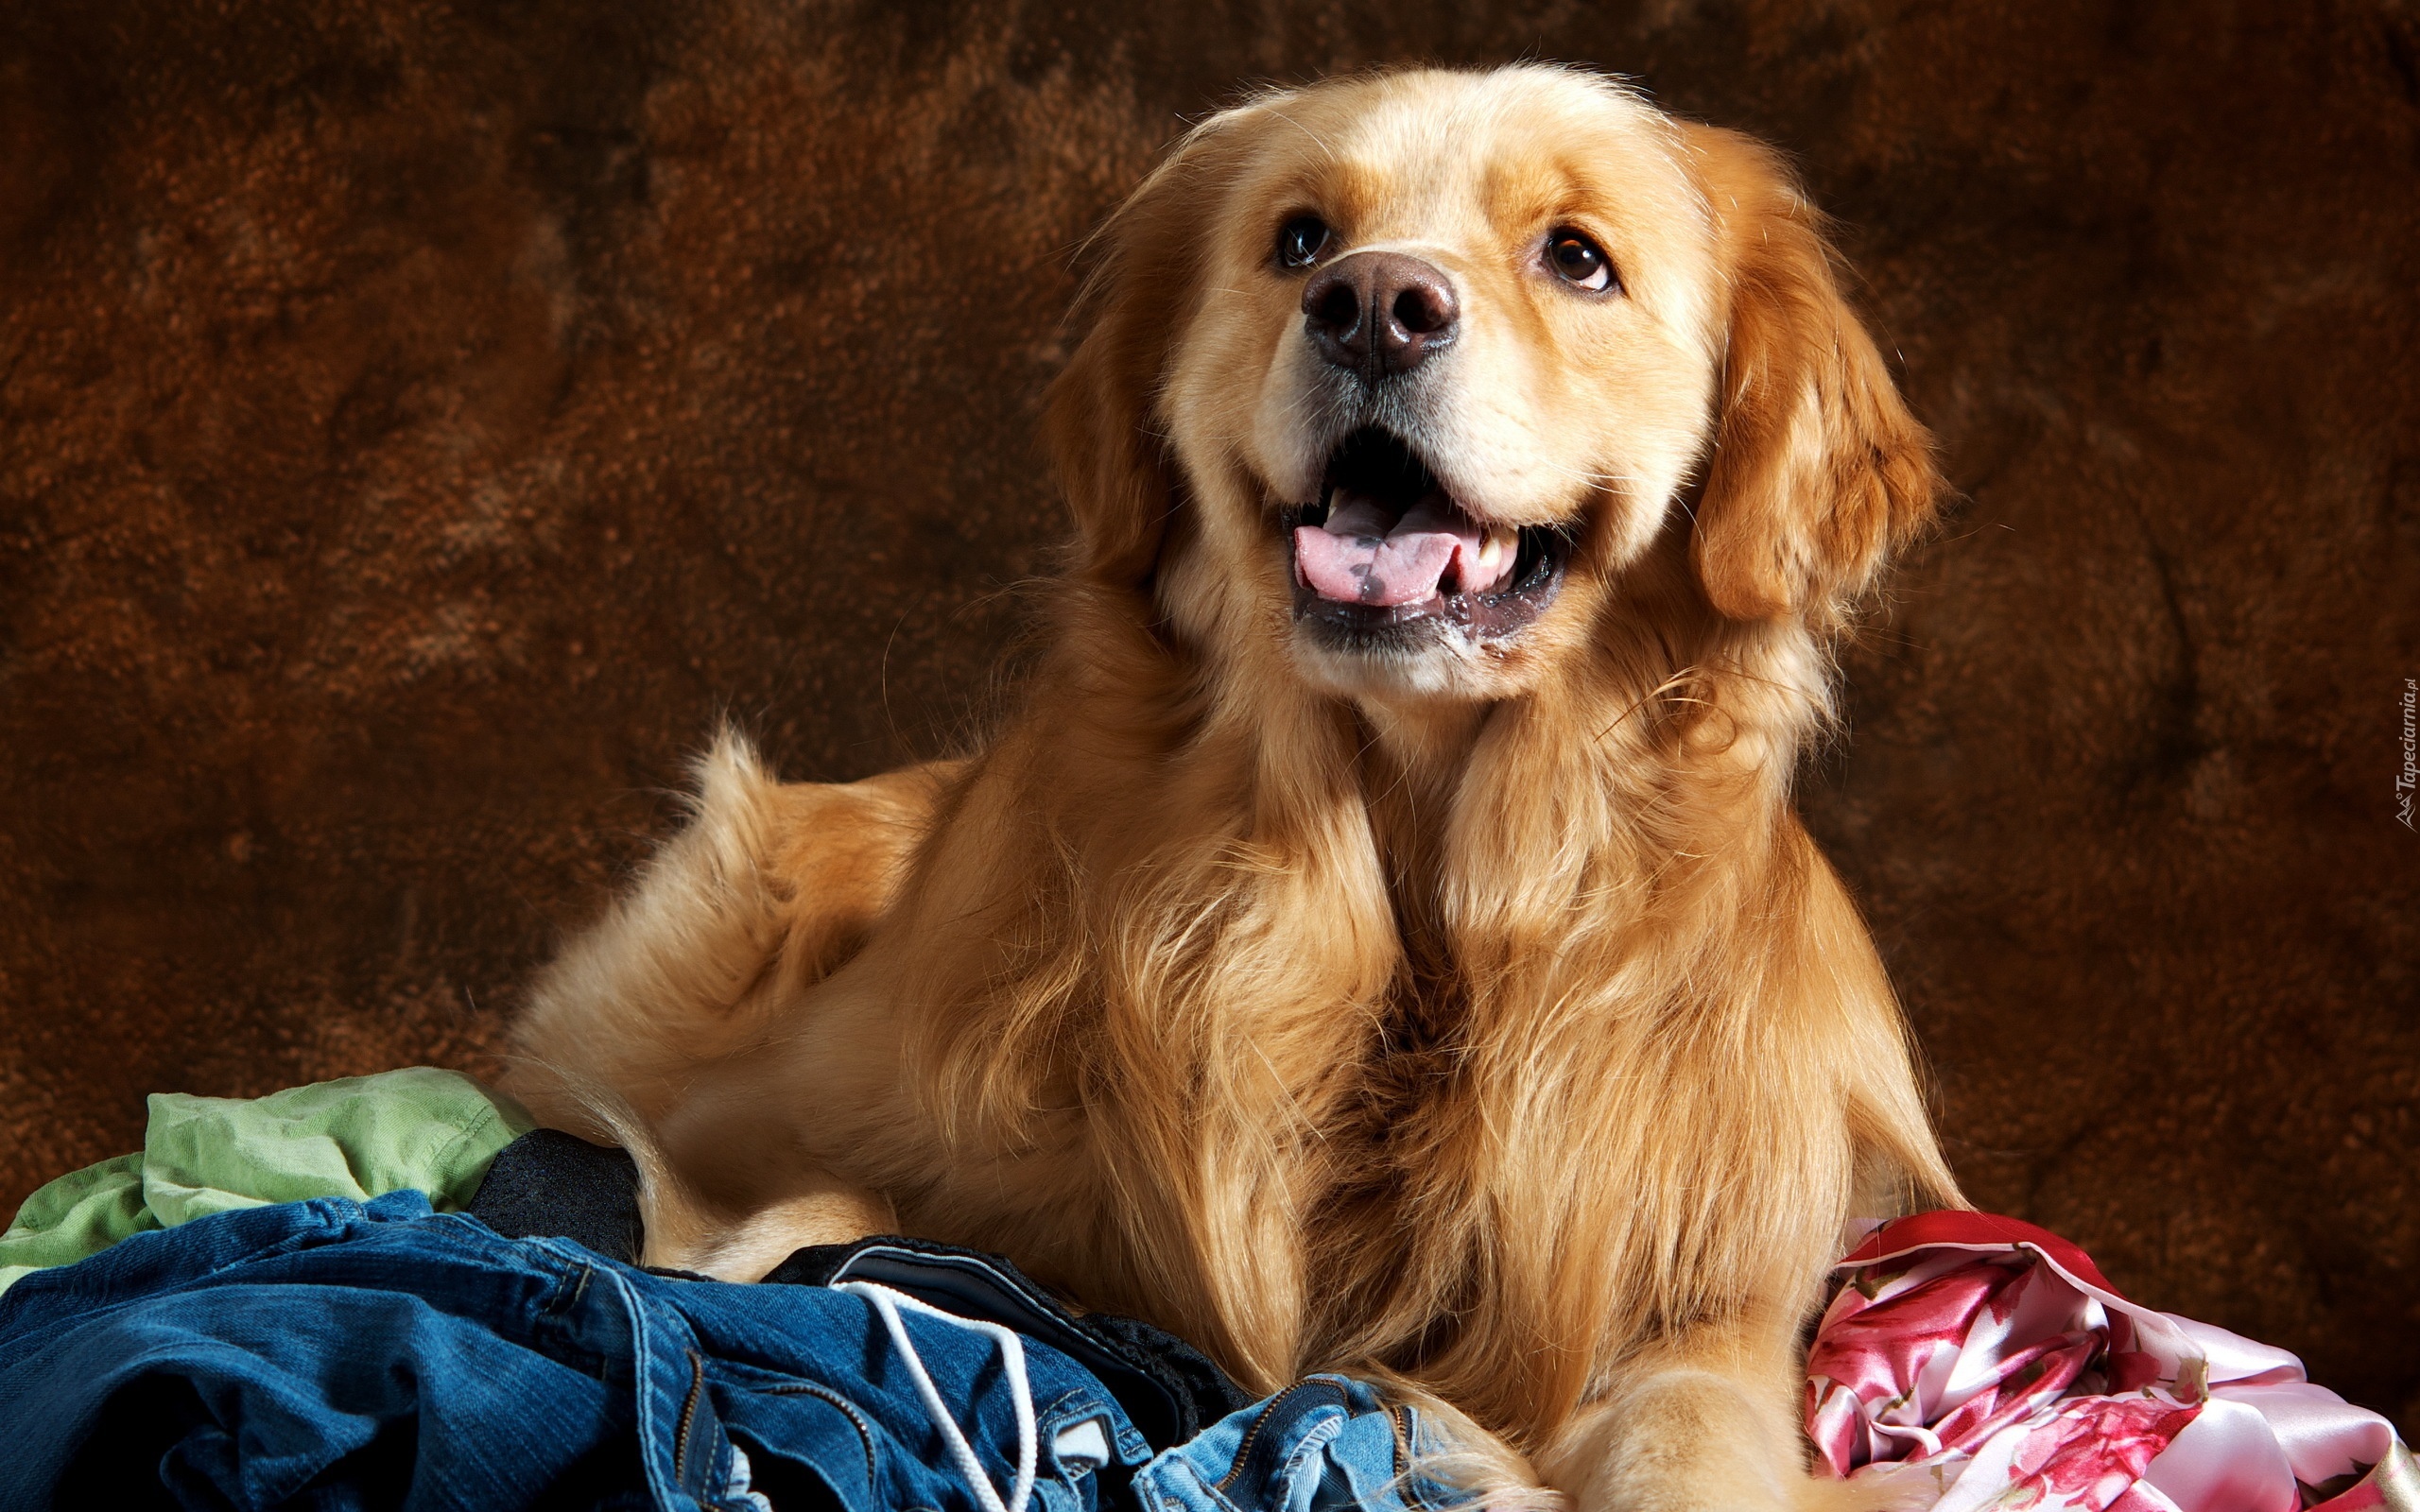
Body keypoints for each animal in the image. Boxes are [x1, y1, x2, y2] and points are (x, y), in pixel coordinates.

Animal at [510, 64, 1964, 1509]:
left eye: (1576, 259)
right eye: (1301, 241)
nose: (1375, 308)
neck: (1405, 898)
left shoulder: (1697, 1316)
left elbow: (1686, 1441)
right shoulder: (745, 1124)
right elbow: (794, 1222)